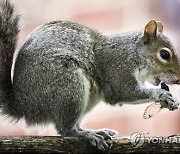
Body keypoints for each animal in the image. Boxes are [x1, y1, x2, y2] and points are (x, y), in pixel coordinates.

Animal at [0, 0, 180, 152]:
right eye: (164, 54)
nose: (178, 80)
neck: (133, 52)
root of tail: (23, 106)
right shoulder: (118, 68)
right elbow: (123, 92)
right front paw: (162, 95)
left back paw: (97, 131)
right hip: (68, 86)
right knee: (65, 129)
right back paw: (87, 134)